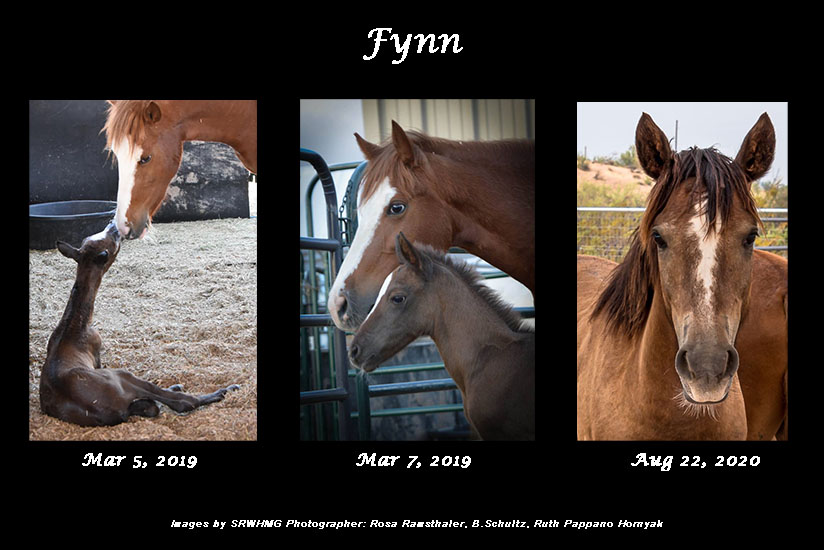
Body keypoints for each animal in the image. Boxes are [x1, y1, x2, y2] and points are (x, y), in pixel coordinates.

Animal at [39, 220, 239, 427]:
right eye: (111, 241)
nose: (113, 225)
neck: (75, 323)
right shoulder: (97, 355)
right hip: (120, 376)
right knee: (180, 402)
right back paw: (224, 390)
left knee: (150, 406)